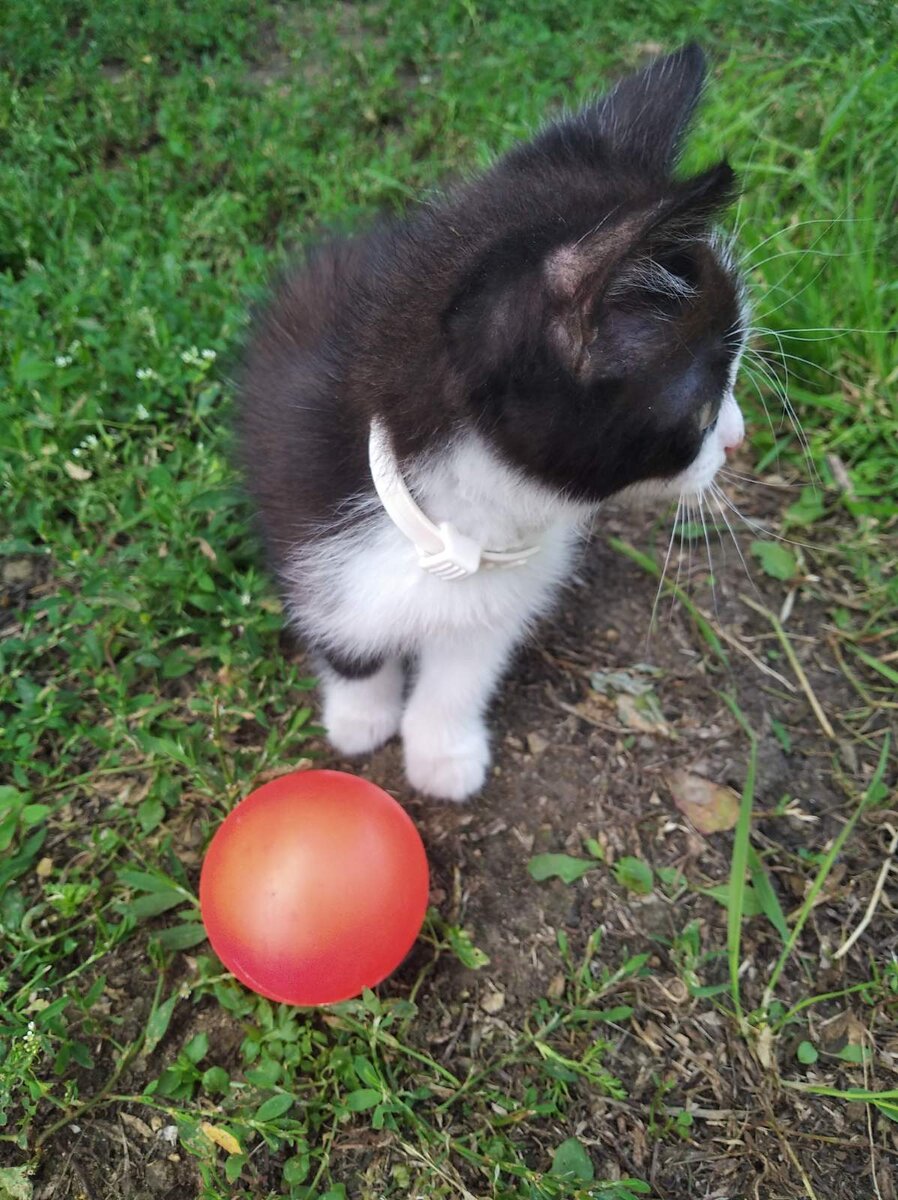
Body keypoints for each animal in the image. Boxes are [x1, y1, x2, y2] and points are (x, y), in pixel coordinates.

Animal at [236, 42, 744, 801]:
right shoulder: (303, 507)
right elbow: (345, 636)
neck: (460, 522)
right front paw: (361, 716)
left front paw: (442, 750)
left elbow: (466, 666)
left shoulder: (504, 586)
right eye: (708, 401)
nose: (737, 439)